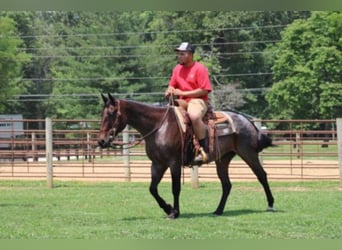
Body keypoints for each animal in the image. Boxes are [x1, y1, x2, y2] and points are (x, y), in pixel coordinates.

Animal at [97, 93, 274, 219]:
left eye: (111, 113)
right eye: (102, 114)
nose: (101, 140)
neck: (159, 126)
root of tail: (247, 121)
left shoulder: (173, 163)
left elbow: (175, 188)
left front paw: (175, 212)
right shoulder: (157, 164)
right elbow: (152, 189)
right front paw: (168, 208)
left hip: (248, 154)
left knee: (262, 176)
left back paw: (271, 205)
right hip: (223, 160)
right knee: (227, 185)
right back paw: (218, 211)